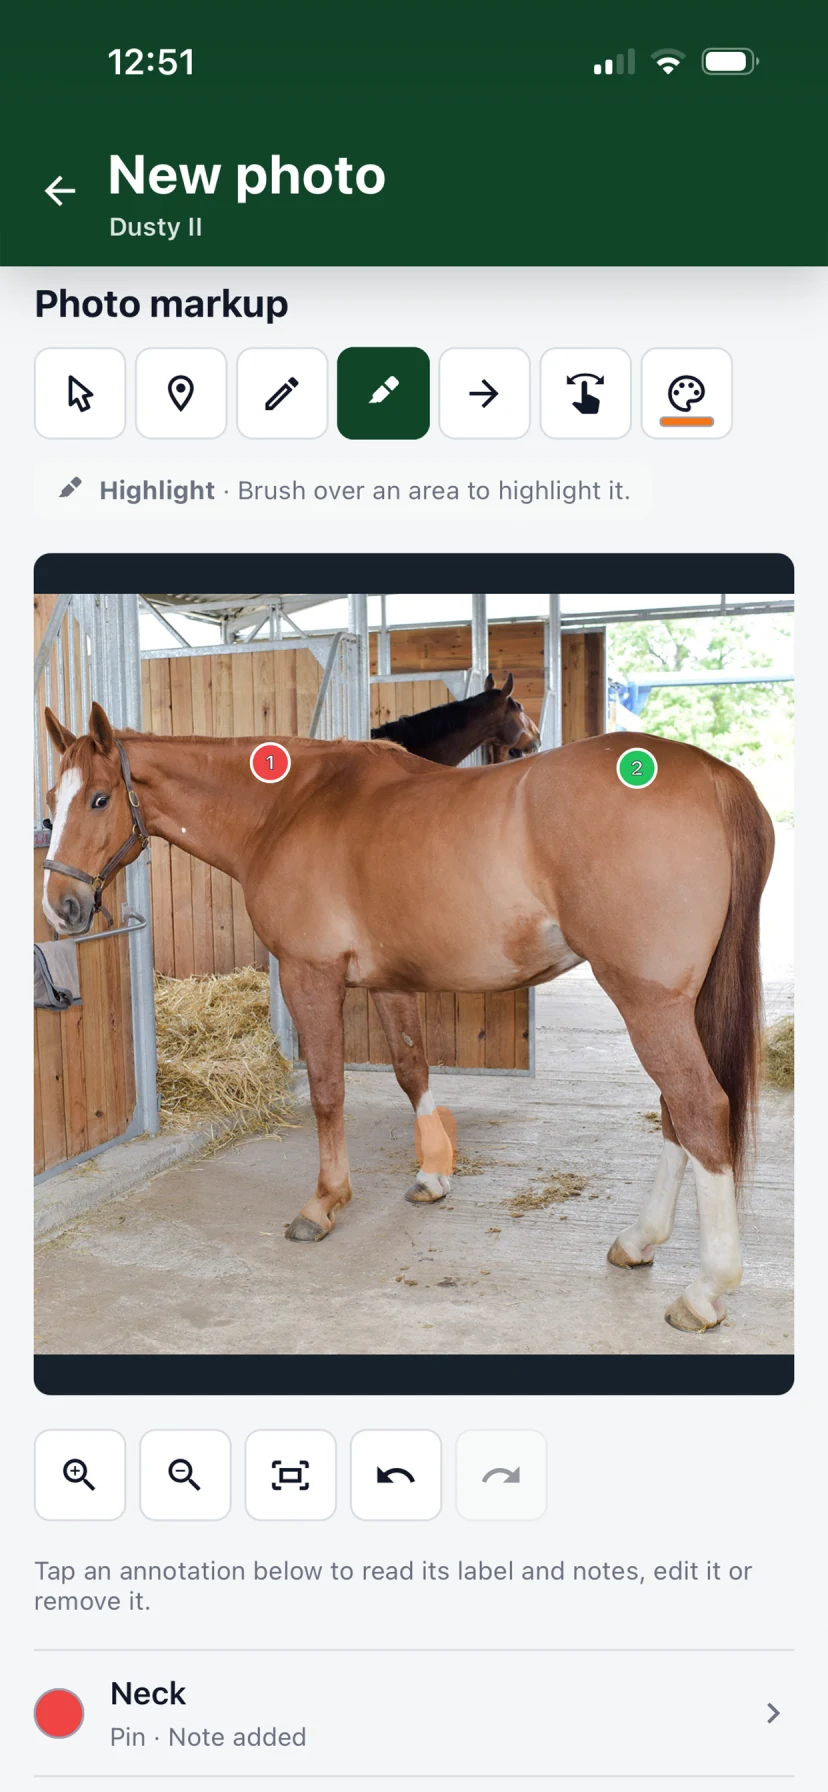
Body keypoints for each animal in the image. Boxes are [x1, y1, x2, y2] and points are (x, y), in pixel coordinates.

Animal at [42, 702, 774, 1334]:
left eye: (99, 799)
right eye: (52, 803)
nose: (63, 908)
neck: (287, 807)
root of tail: (714, 776)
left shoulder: (312, 976)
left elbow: (327, 1090)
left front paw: (324, 1203)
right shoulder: (391, 983)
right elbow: (411, 1069)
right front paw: (431, 1176)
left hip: (648, 1002)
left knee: (699, 1107)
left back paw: (705, 1291)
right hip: (677, 1005)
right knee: (677, 1113)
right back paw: (640, 1241)